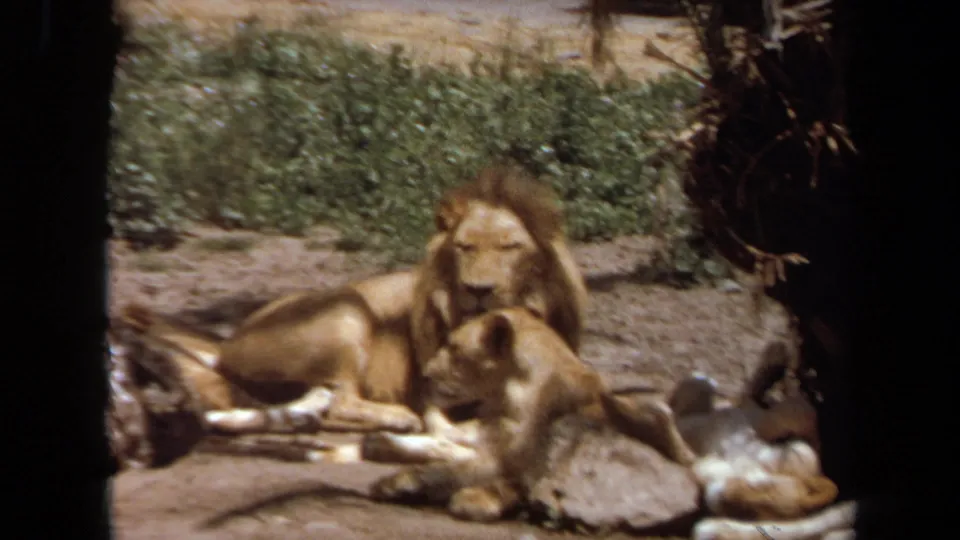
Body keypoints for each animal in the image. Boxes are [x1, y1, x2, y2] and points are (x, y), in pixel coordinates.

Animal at [119, 165, 588, 448]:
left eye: (511, 247)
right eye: (464, 247)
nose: (478, 289)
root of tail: (229, 341)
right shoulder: (430, 391)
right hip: (347, 309)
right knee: (339, 402)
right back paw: (395, 418)